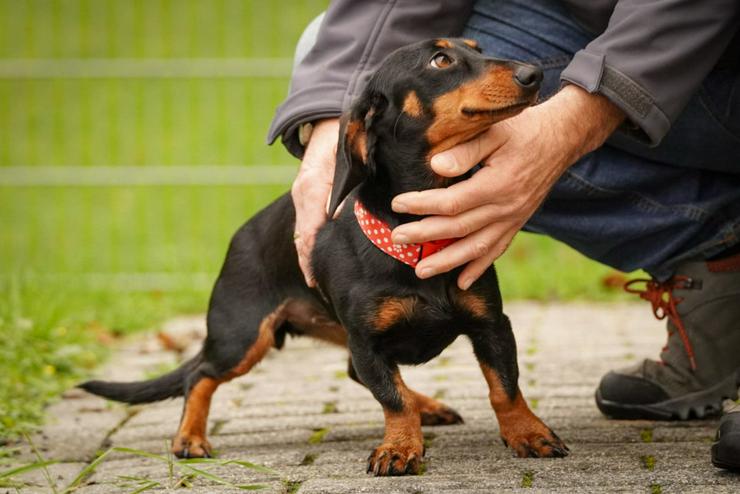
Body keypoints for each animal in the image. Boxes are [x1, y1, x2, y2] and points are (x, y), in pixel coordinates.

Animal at [81, 36, 568, 476]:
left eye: (479, 48)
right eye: (440, 60)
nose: (534, 74)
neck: (413, 237)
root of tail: (243, 232)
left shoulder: (490, 323)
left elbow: (504, 386)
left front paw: (529, 434)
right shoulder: (367, 343)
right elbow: (392, 398)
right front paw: (399, 448)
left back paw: (430, 405)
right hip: (242, 335)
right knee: (199, 375)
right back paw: (189, 437)